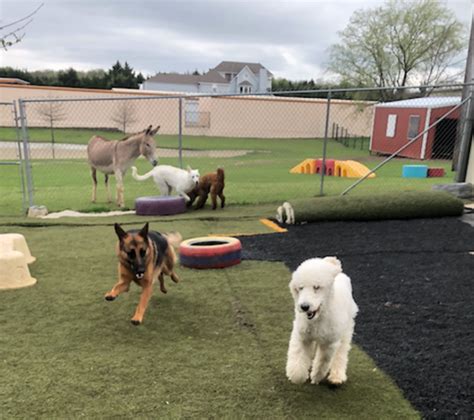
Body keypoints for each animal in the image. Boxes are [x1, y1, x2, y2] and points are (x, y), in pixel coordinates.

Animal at [286, 257, 358, 385]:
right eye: (300, 288)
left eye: (316, 287)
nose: (305, 307)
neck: (319, 318)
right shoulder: (302, 336)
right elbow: (298, 355)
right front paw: (297, 375)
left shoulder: (329, 343)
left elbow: (322, 362)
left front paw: (316, 377)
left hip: (346, 329)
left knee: (341, 353)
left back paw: (336, 376)